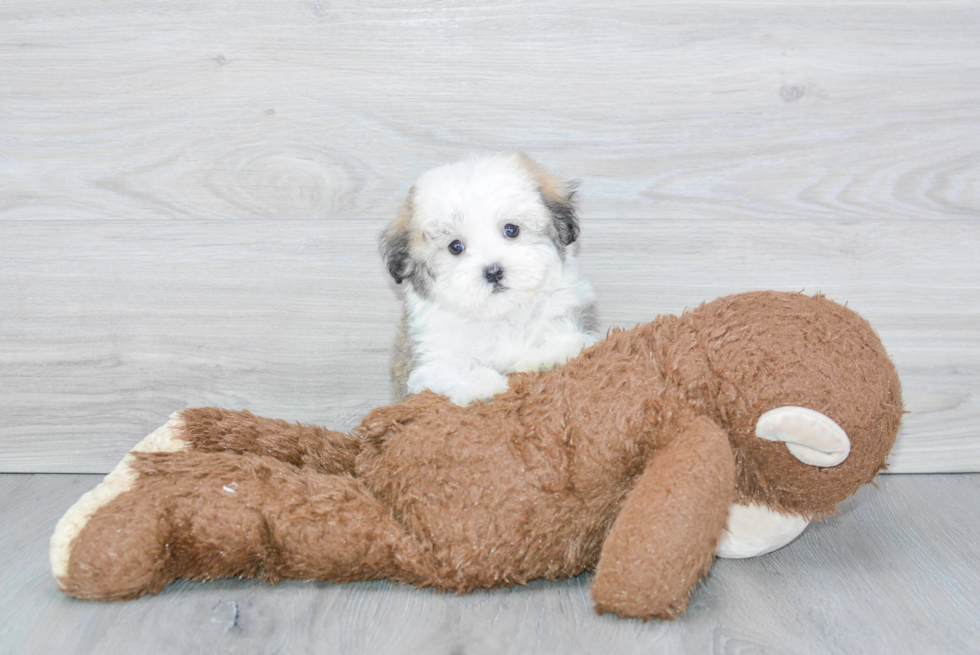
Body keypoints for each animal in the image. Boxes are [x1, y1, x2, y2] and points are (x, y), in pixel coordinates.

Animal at [380, 156, 596, 408]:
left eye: (511, 230)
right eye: (455, 247)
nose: (493, 272)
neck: (501, 316)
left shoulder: (569, 310)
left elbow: (568, 338)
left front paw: (548, 357)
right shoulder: (431, 354)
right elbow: (446, 370)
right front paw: (477, 385)